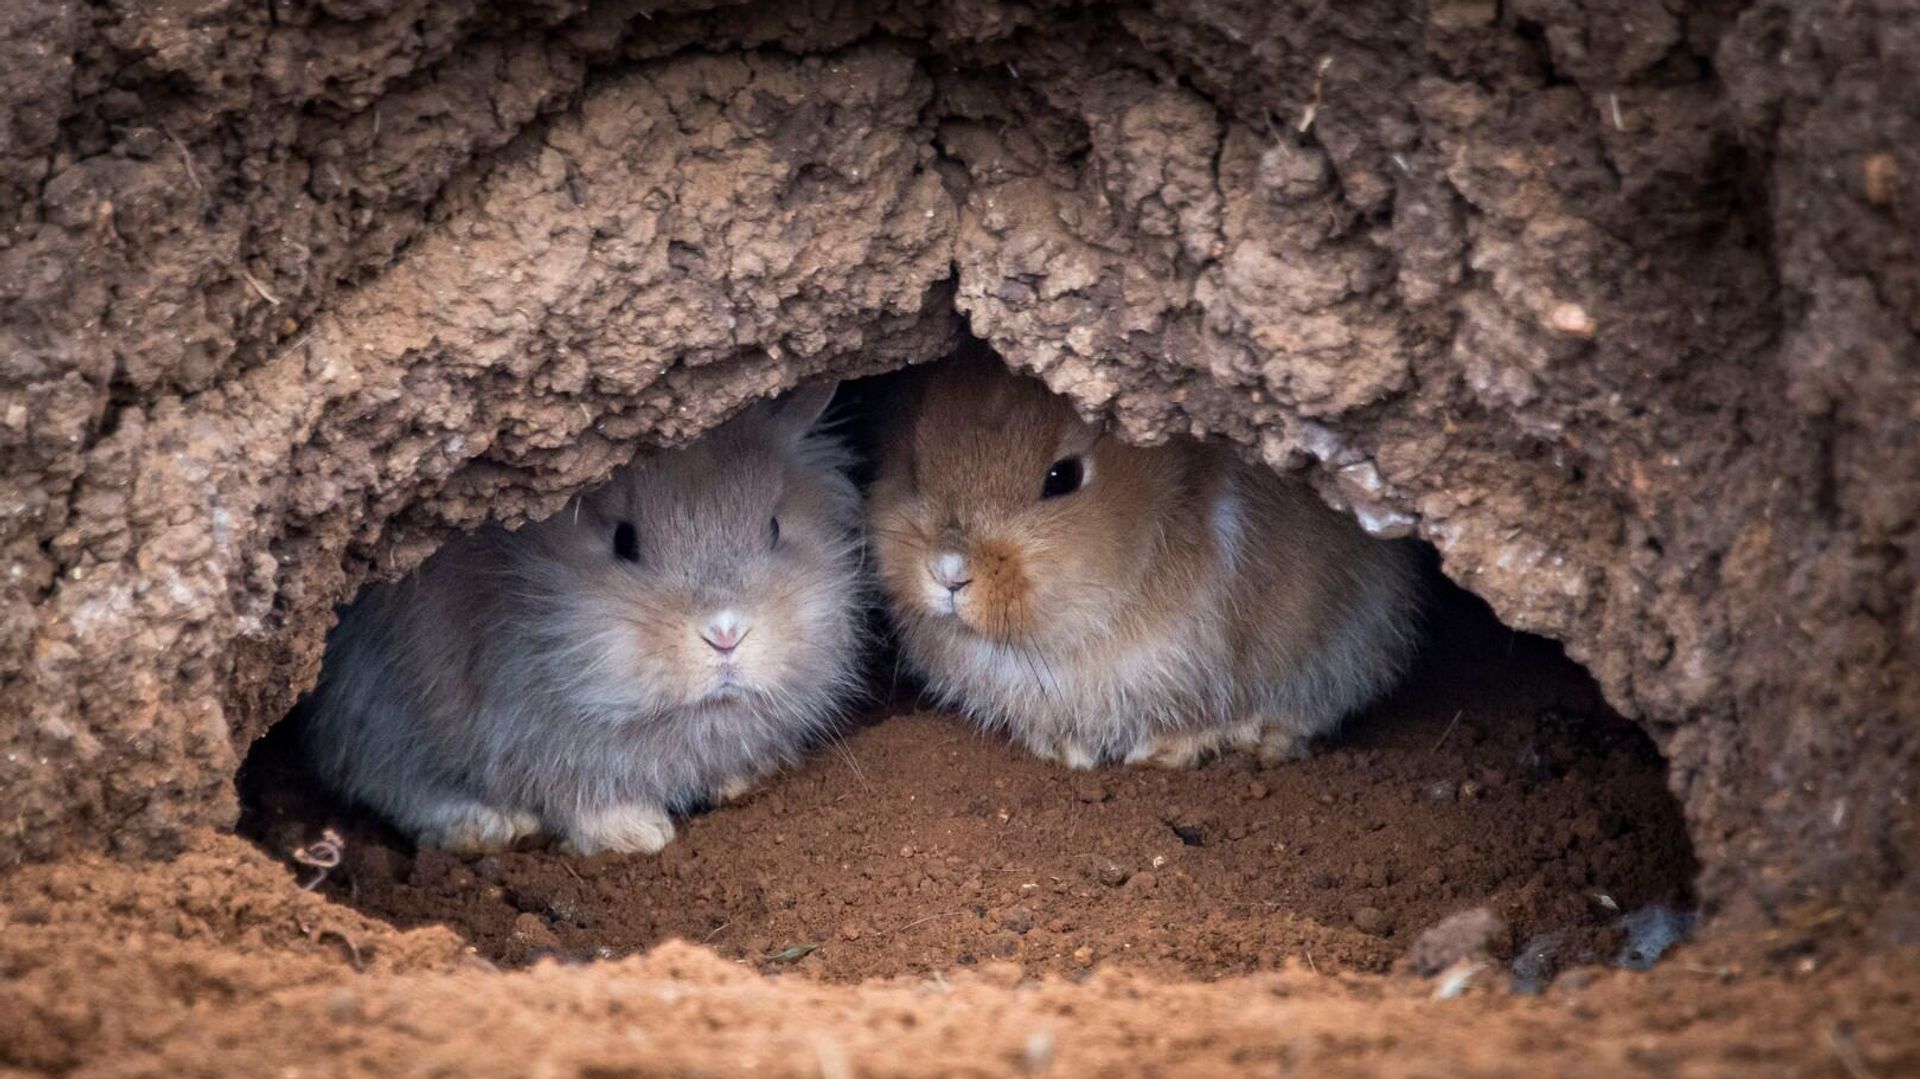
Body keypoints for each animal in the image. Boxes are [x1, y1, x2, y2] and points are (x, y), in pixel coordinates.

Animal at [302, 381, 865, 855]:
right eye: (624, 541)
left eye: (774, 528)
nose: (725, 633)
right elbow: (574, 795)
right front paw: (635, 833)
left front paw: (743, 778)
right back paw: (488, 826)